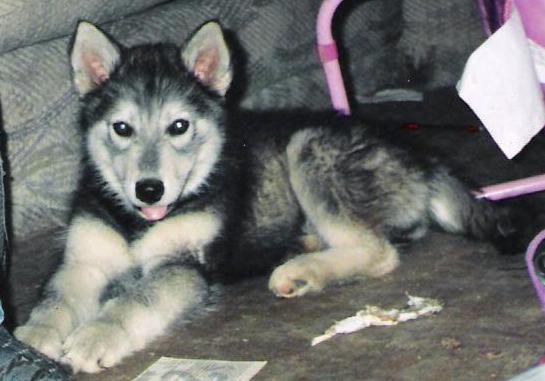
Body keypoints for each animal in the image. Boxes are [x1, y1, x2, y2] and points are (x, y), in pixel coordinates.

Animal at [14, 20, 520, 372]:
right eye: (121, 128)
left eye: (179, 126)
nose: (149, 188)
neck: (137, 222)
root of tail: (421, 157)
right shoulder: (84, 260)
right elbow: (55, 299)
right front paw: (30, 339)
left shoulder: (184, 266)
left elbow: (134, 299)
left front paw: (95, 337)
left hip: (307, 147)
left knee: (378, 252)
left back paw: (301, 271)